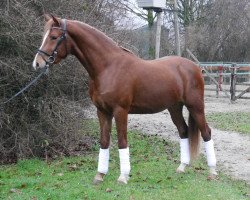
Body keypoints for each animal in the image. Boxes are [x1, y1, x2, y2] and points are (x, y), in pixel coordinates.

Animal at [32, 15, 217, 184]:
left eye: (53, 37)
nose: (37, 64)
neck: (108, 67)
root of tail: (195, 67)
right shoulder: (102, 111)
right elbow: (104, 141)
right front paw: (100, 175)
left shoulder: (120, 111)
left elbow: (122, 141)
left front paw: (123, 176)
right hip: (174, 108)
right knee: (183, 131)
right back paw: (182, 167)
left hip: (195, 106)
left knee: (206, 132)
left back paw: (212, 172)